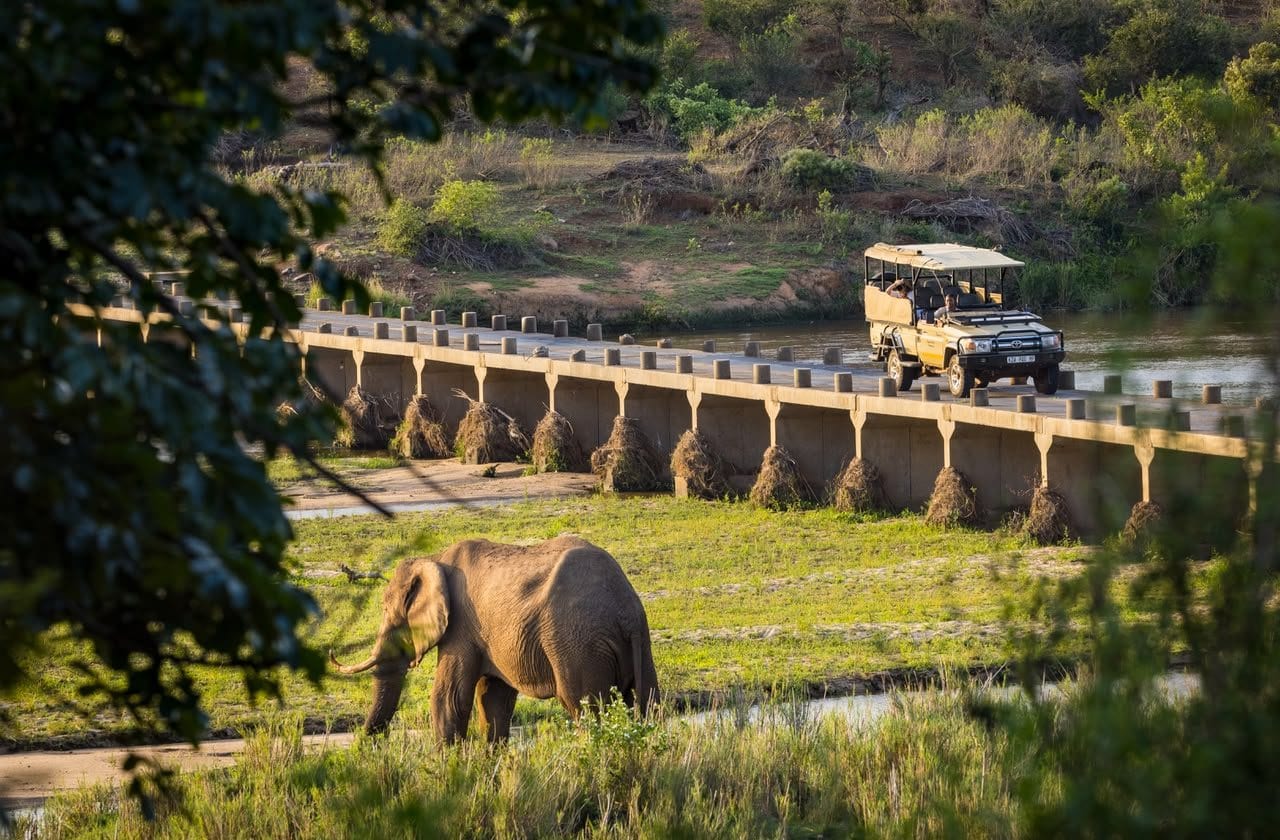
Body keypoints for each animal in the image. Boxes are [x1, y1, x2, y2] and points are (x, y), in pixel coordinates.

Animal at [330, 536, 660, 742]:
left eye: (387, 610)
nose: (366, 744)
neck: (435, 559)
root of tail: (624, 610)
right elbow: (493, 700)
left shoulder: (461, 627)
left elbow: (449, 698)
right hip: (639, 639)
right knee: (648, 702)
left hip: (577, 643)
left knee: (584, 709)